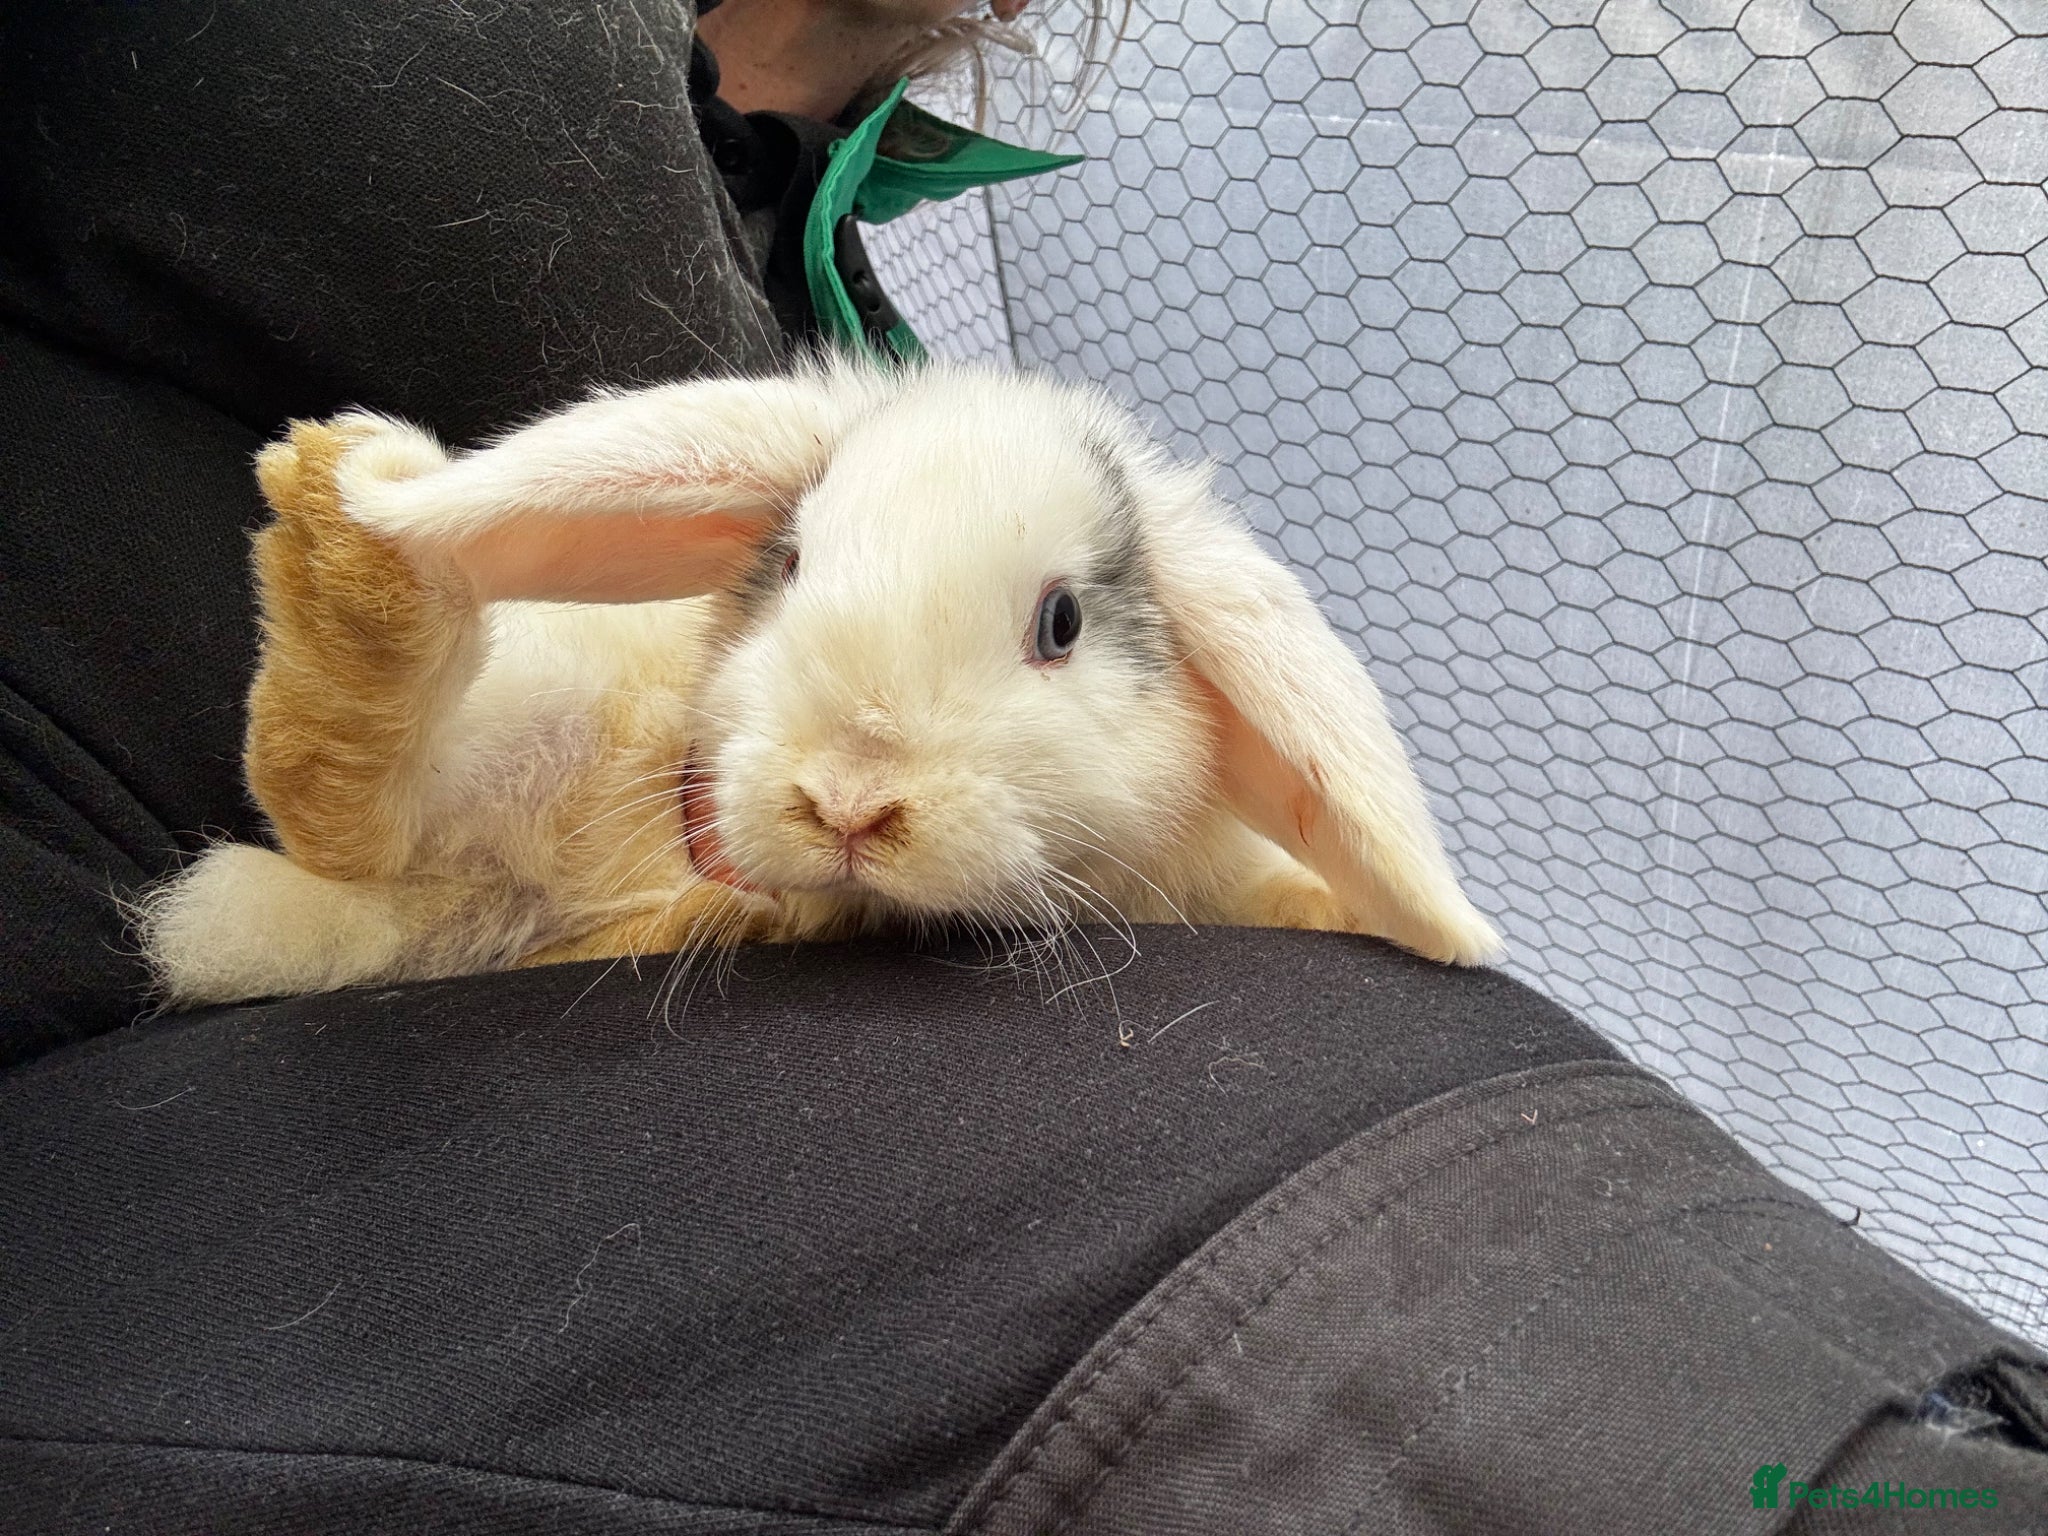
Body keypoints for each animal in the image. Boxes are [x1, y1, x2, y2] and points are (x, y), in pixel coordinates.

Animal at [137, 358, 1502, 1009]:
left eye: (1059, 623)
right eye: (790, 564)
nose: (848, 804)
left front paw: (1349, 916)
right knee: (337, 798)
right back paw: (358, 512)